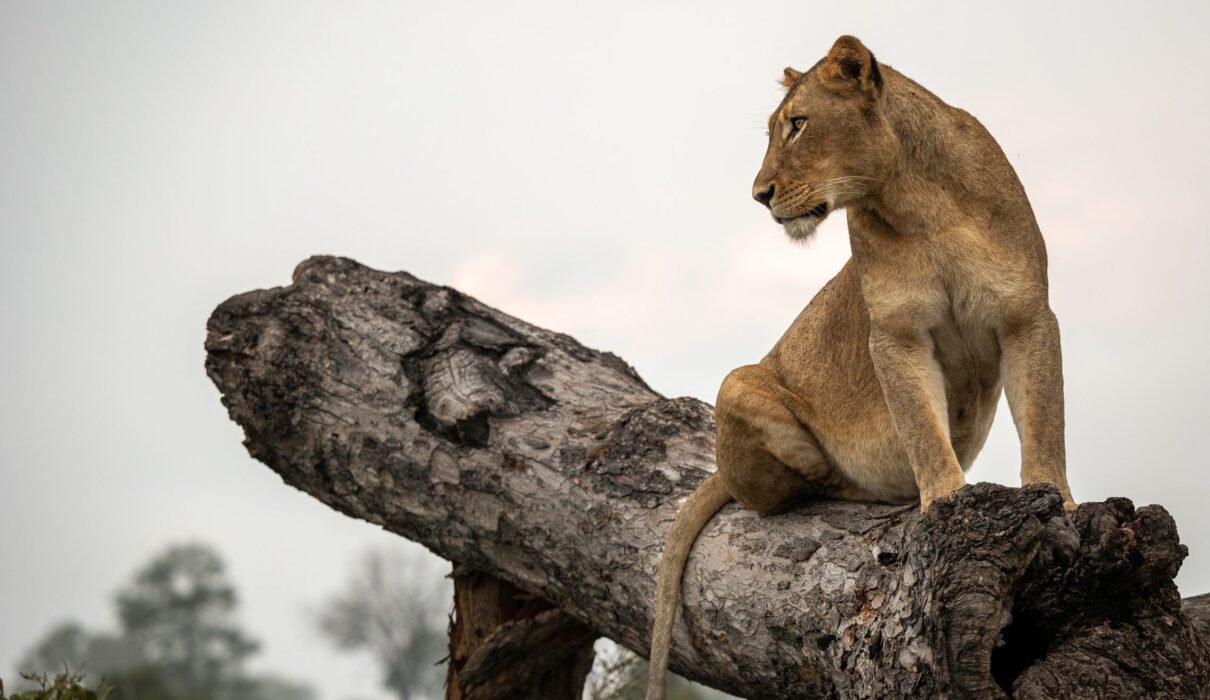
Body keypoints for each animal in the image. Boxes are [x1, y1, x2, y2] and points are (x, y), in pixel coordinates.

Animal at [645, 35, 1075, 699]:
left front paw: (1060, 502)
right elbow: (922, 429)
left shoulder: (1027, 316)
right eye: (775, 128)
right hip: (738, 381)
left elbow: (1045, 420)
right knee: (798, 485)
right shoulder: (896, 335)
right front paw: (945, 502)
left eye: (798, 125)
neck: (919, 201)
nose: (759, 195)